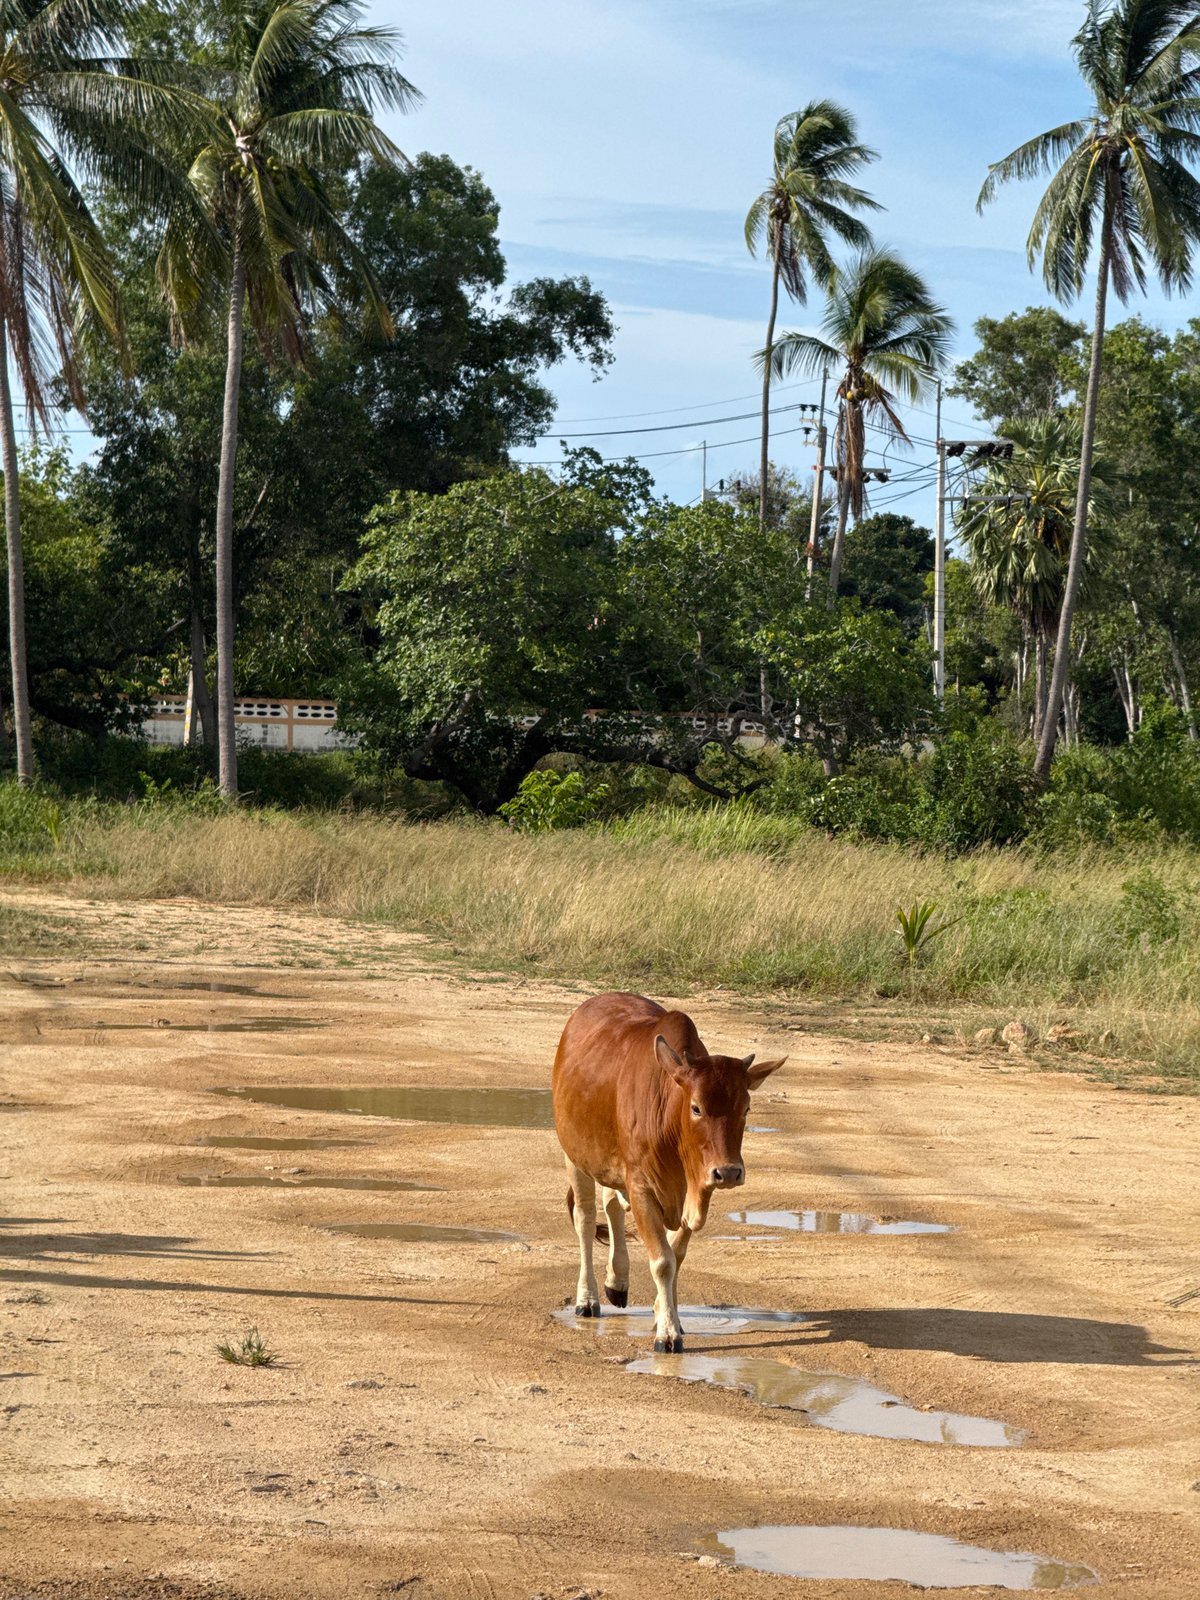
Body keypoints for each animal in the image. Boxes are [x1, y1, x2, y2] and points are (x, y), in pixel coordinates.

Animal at [552, 992, 785, 1352]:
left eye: (746, 1108)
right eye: (696, 1107)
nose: (729, 1172)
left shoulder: (696, 1190)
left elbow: (677, 1254)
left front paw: (665, 1313)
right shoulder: (642, 1188)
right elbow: (662, 1261)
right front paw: (668, 1333)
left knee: (612, 1205)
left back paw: (617, 1282)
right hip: (574, 1156)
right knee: (586, 1219)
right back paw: (587, 1298)